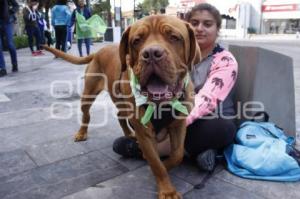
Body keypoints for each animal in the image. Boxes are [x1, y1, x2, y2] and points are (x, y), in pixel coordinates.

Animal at [43, 14, 200, 198]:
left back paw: (128, 134)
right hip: (89, 94)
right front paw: (167, 189)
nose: (151, 54)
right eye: (136, 41)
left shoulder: (178, 125)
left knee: (120, 116)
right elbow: (156, 163)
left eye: (174, 37)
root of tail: (97, 51)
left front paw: (166, 165)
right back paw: (82, 133)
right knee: (86, 115)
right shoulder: (145, 132)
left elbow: (177, 154)